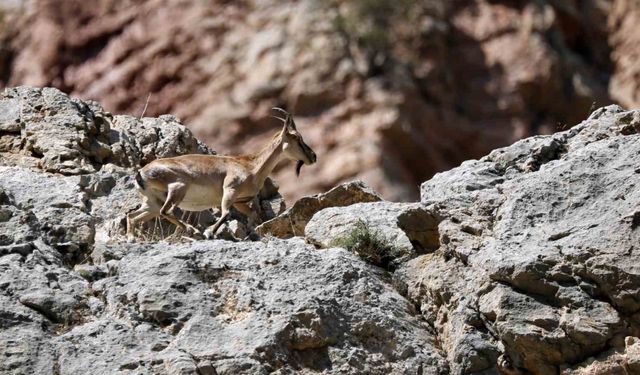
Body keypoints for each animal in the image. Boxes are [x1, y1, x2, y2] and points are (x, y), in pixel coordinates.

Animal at [126, 108, 316, 241]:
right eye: (297, 138)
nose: (313, 156)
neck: (252, 167)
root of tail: (141, 173)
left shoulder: (239, 201)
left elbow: (252, 214)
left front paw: (252, 234)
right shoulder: (230, 190)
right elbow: (225, 214)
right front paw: (210, 233)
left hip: (152, 202)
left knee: (133, 216)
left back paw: (131, 238)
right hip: (178, 188)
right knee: (166, 211)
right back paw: (193, 230)